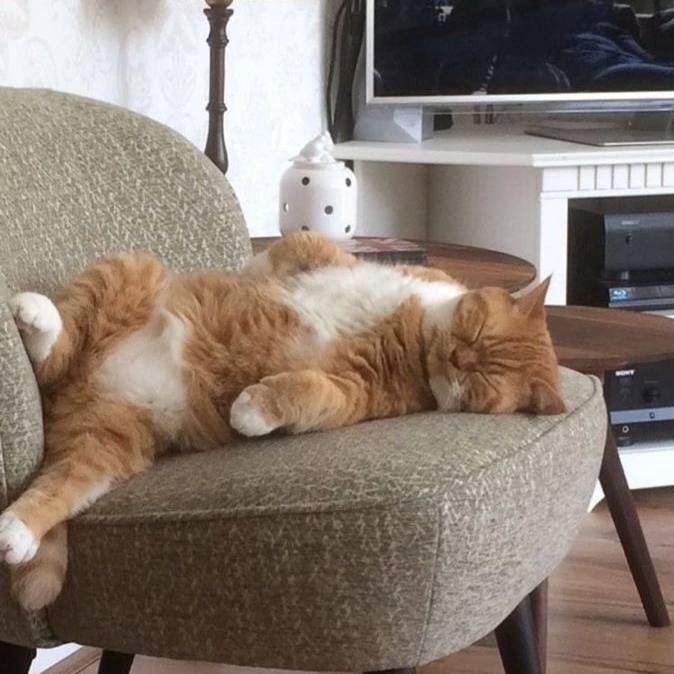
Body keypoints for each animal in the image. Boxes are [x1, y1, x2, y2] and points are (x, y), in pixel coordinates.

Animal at [0, 232, 564, 611]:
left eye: (482, 381)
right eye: (474, 331)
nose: (456, 360)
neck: (419, 323)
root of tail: (76, 397)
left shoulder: (353, 391)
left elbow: (308, 391)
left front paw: (250, 410)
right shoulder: (318, 253)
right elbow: (284, 252)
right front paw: (245, 275)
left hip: (112, 445)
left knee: (63, 479)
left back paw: (15, 531)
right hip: (131, 270)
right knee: (62, 346)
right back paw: (37, 316)